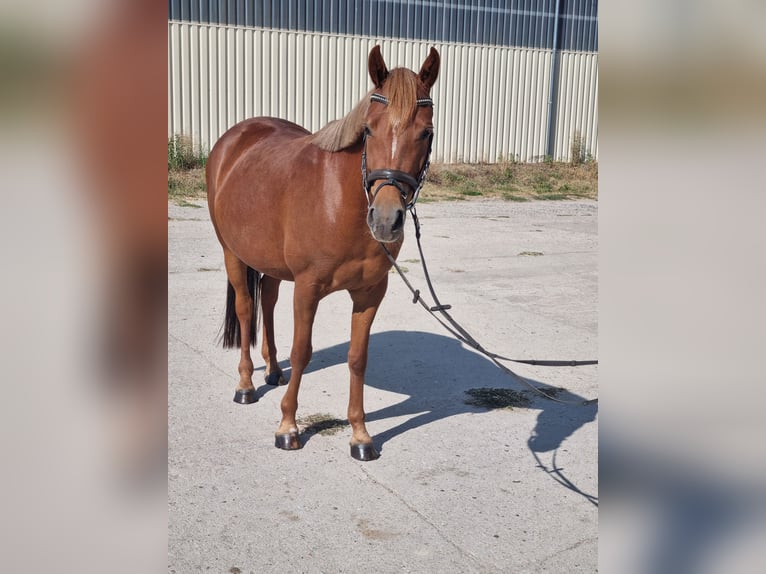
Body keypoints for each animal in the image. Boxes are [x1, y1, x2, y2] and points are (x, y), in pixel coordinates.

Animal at [207, 46, 440, 464]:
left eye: (426, 132)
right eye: (369, 129)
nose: (386, 220)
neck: (340, 202)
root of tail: (234, 138)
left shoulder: (370, 293)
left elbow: (357, 358)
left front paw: (360, 435)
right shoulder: (308, 288)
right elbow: (302, 352)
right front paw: (288, 427)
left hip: (271, 261)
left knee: (268, 299)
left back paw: (271, 371)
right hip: (231, 251)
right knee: (247, 309)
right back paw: (246, 385)